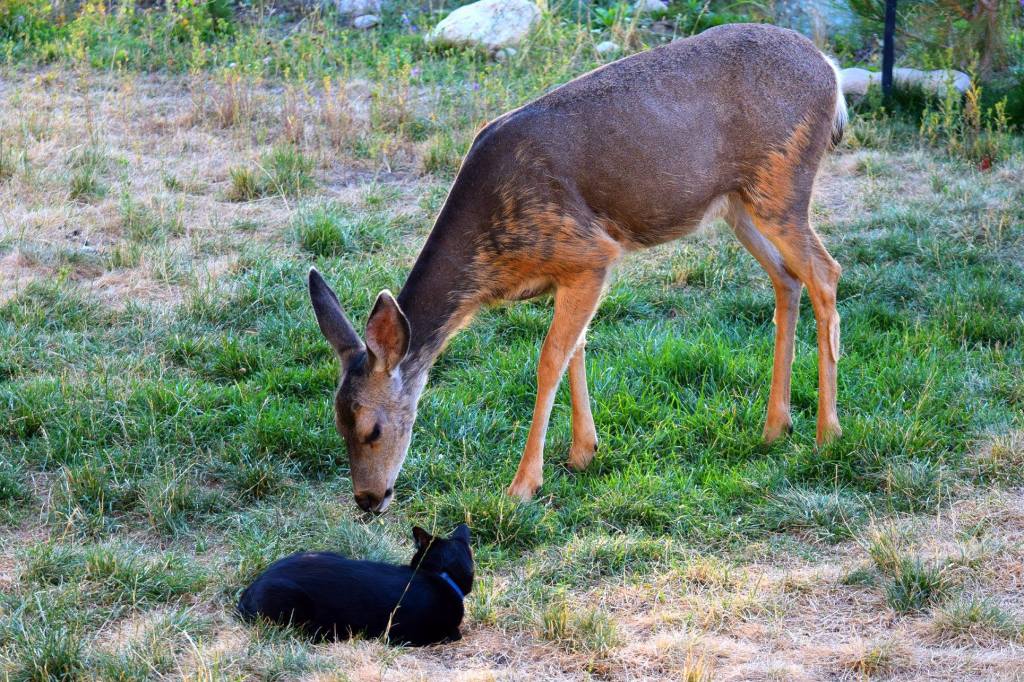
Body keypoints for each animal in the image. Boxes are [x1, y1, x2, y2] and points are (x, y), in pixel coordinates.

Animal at [308, 23, 847, 513]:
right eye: (336, 423)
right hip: (740, 204)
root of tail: (831, 71)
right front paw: (583, 452)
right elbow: (577, 349)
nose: (368, 499)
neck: (491, 262)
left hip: (782, 183)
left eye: (372, 428)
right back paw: (776, 426)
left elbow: (550, 359)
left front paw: (524, 484)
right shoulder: (568, 273)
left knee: (826, 273)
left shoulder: (588, 252)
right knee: (787, 279)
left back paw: (827, 433)